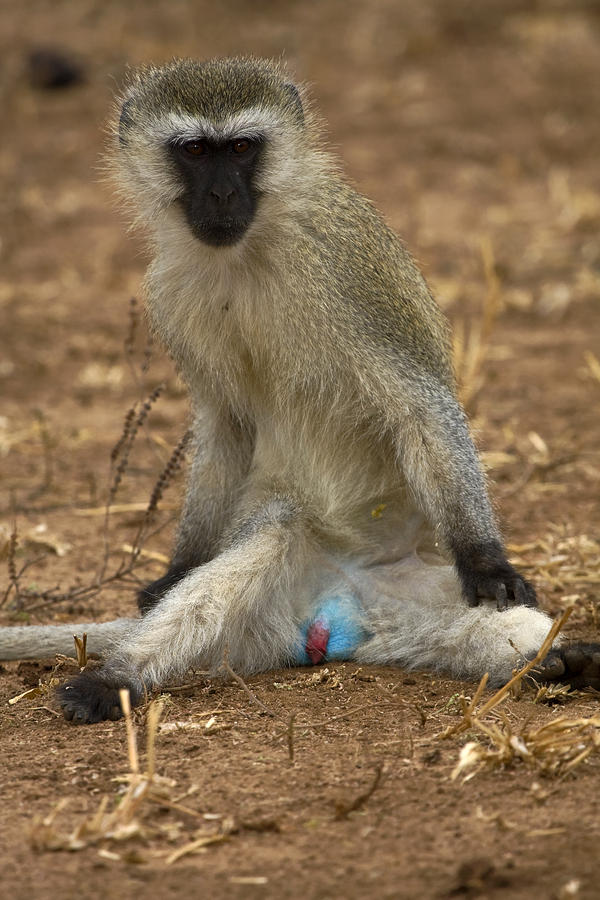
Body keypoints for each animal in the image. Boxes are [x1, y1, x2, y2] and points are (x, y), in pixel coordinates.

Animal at [2, 56, 599, 723]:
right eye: (194, 150)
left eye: (241, 148)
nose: (221, 195)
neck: (248, 249)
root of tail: (350, 593)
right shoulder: (168, 290)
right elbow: (225, 426)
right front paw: (178, 567)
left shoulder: (345, 263)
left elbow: (418, 403)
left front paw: (486, 560)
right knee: (268, 540)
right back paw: (118, 675)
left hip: (412, 591)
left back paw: (557, 657)